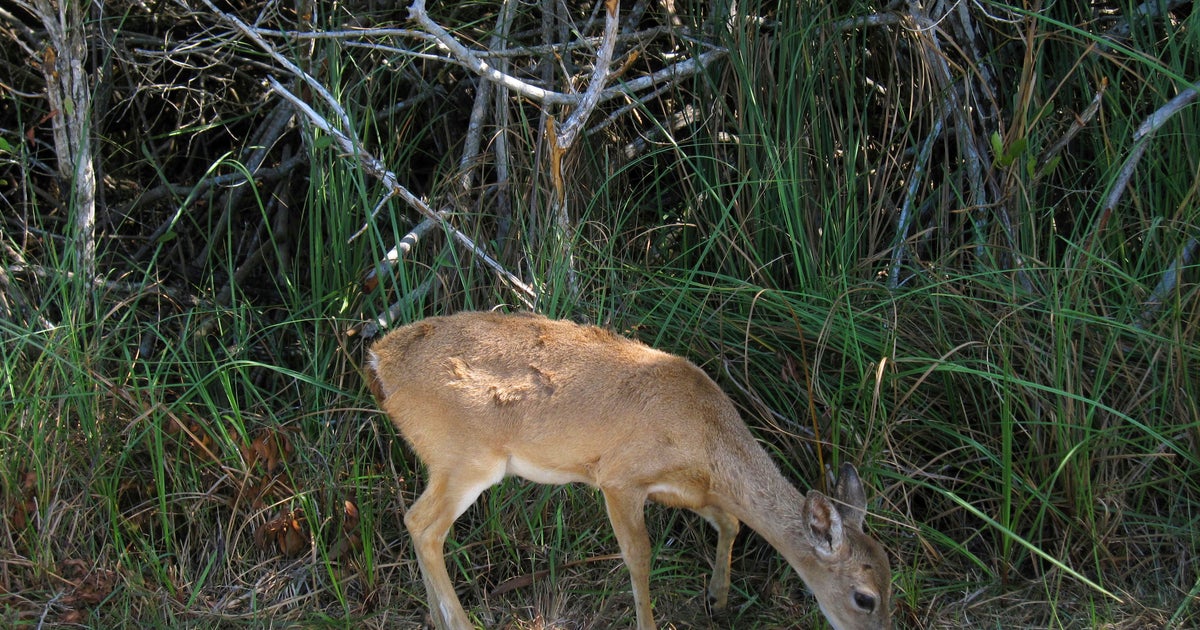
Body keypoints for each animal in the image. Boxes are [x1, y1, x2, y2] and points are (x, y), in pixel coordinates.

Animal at [368, 311, 892, 630]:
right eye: (864, 597)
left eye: (892, 576)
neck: (707, 438)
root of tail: (381, 360)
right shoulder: (620, 478)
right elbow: (639, 556)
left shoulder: (686, 491)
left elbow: (731, 522)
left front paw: (718, 598)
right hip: (465, 460)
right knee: (424, 524)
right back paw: (459, 622)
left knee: (417, 525)